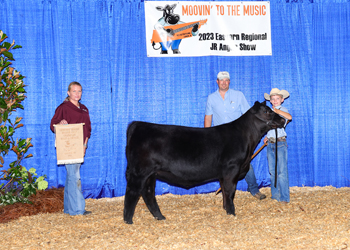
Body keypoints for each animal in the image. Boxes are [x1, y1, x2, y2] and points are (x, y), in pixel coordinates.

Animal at [124, 100, 286, 224]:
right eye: (267, 111)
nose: (283, 119)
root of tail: (138, 124)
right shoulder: (232, 169)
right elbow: (230, 191)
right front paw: (232, 213)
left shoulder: (224, 173)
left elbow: (224, 192)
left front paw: (226, 209)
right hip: (140, 172)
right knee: (132, 192)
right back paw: (128, 220)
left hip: (151, 174)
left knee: (148, 193)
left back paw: (160, 217)